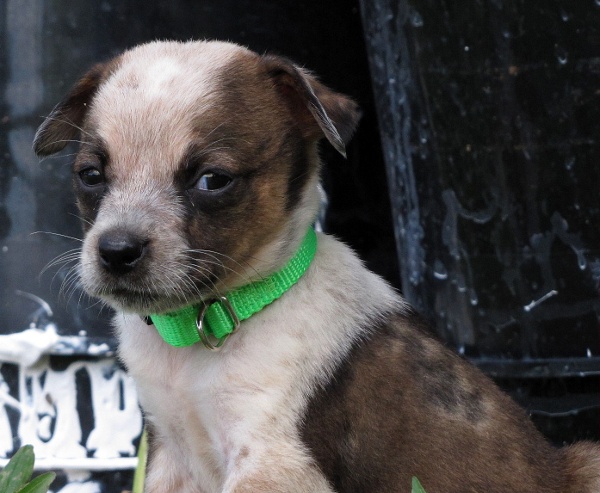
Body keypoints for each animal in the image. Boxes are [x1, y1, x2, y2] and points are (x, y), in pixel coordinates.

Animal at [34, 40, 600, 490]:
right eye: (90, 175)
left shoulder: (272, 460)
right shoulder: (169, 454)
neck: (209, 323)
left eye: (212, 180)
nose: (117, 251)